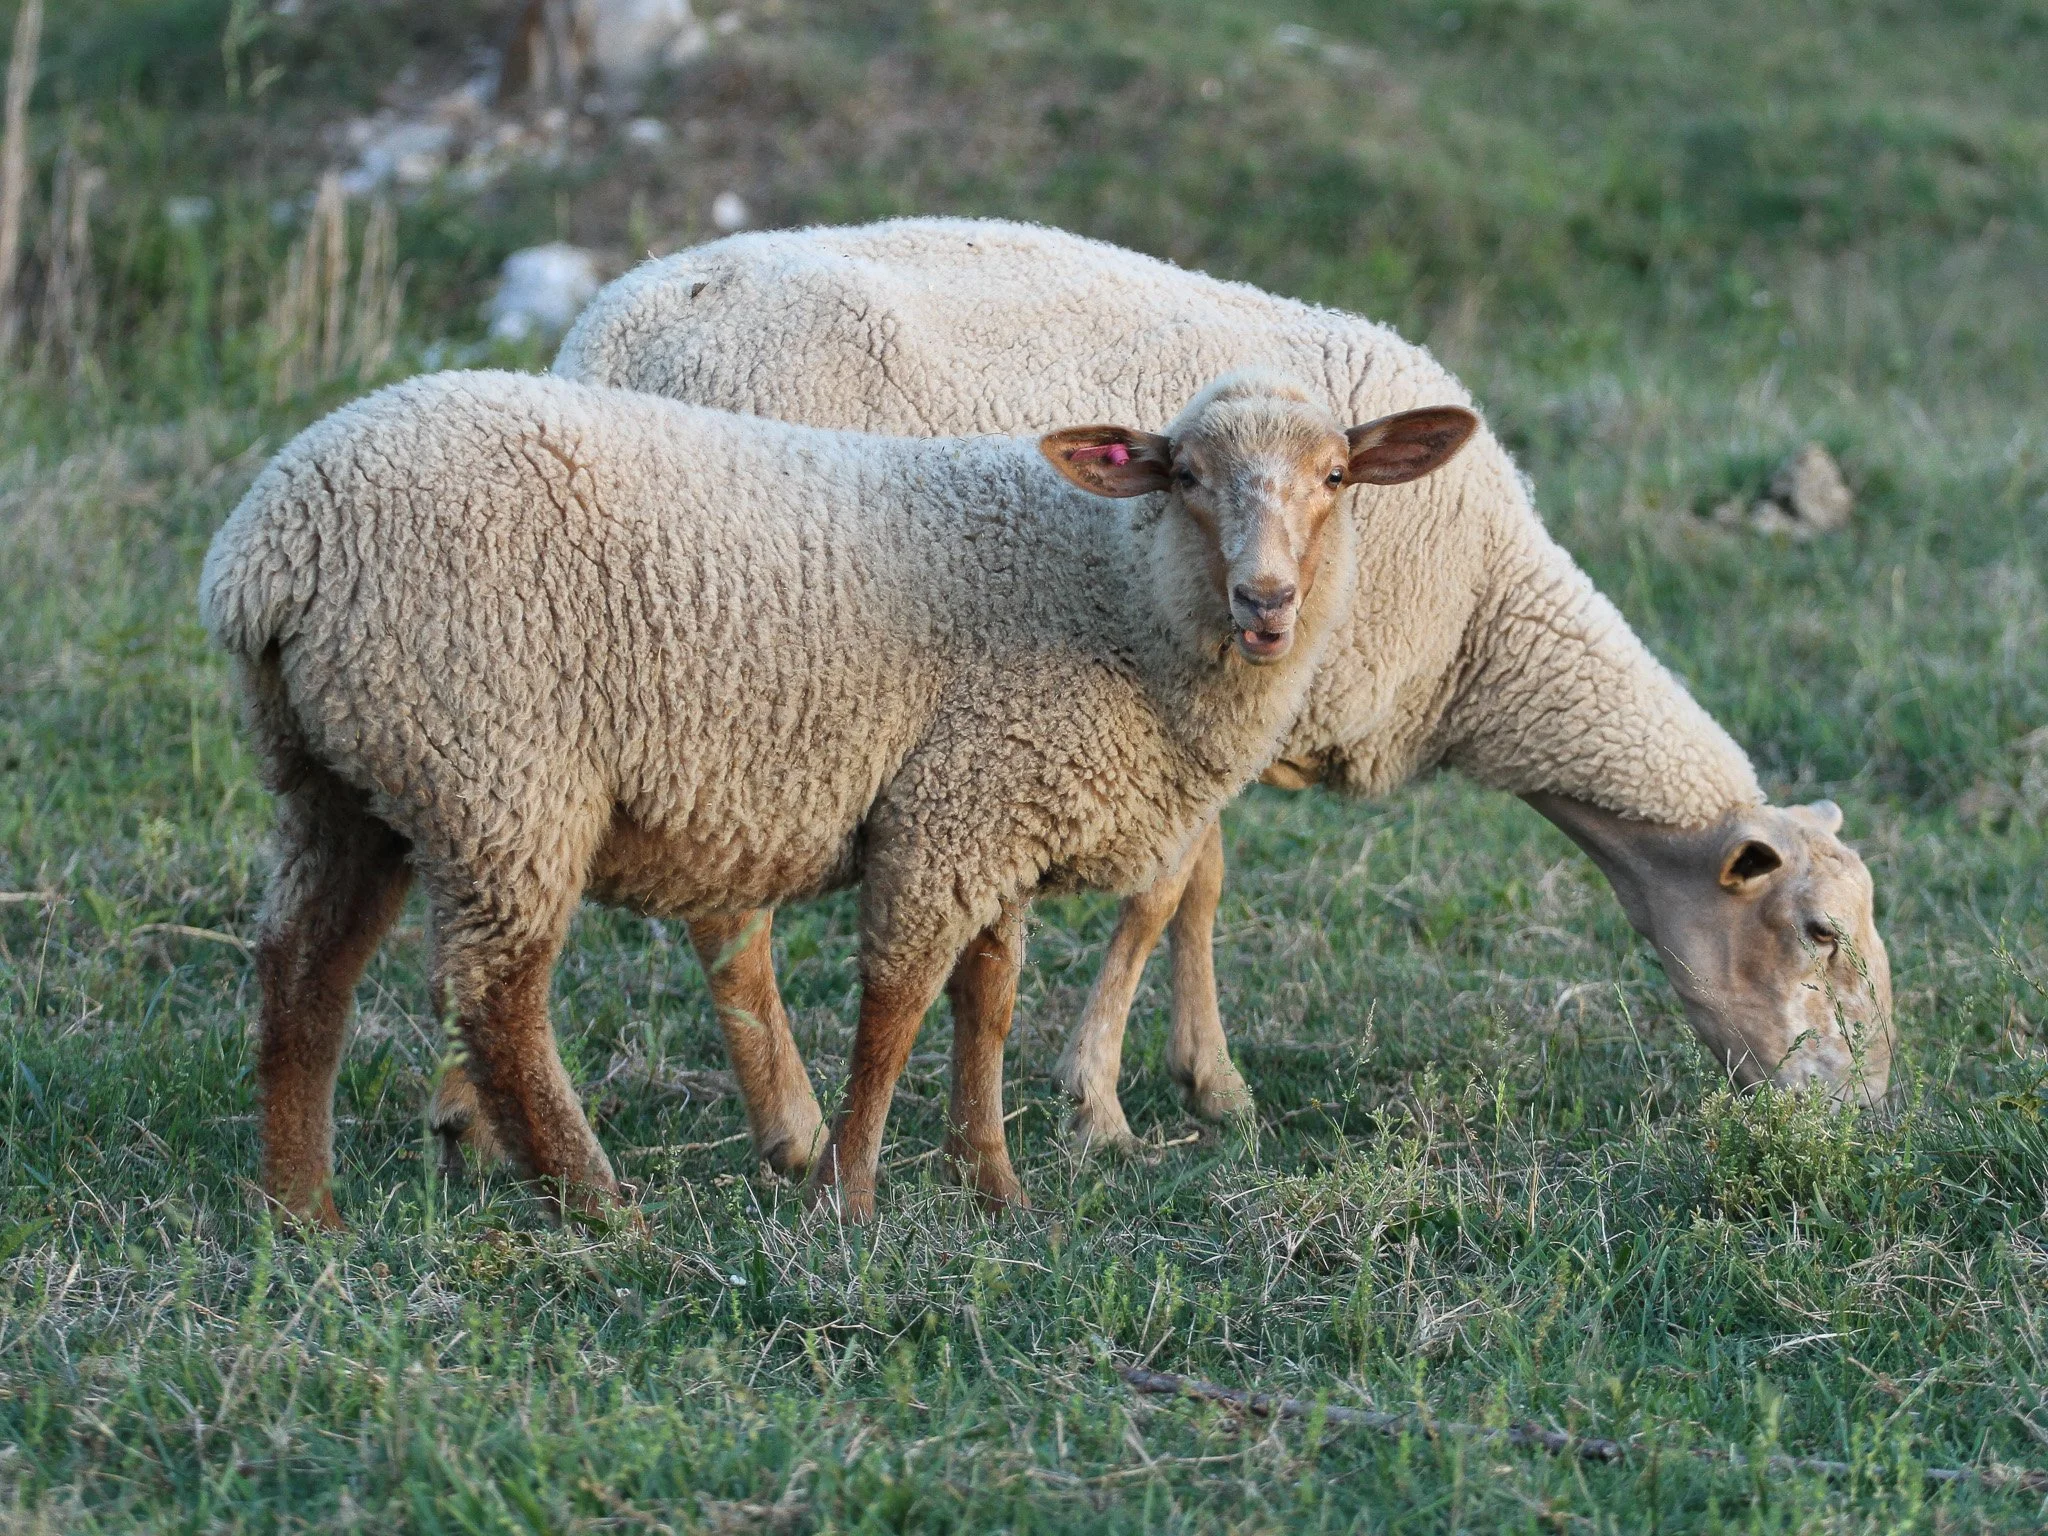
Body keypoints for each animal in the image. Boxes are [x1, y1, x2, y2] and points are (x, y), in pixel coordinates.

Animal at [200, 366, 1479, 1226]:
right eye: (1186, 476)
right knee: (496, 995)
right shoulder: (948, 811)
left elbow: (985, 1002)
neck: (1113, 594)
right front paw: (851, 1196)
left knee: (303, 969)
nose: (1265, 600)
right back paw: (596, 1203)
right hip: (496, 768)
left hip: (346, 776)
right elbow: (896, 1002)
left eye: (1333, 479)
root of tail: (270, 545)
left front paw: (989, 1182)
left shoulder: (995, 806)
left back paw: (300, 1208)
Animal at [540, 216, 1894, 1161]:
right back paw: (793, 1128)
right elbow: (1159, 891)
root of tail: (609, 330)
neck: (1482, 627)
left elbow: (1200, 891)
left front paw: (1208, 1083)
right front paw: (1102, 1101)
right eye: (1817, 934)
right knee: (727, 912)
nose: (1866, 1117)